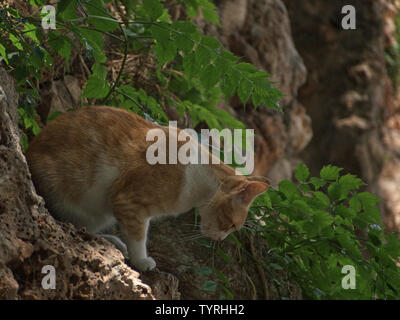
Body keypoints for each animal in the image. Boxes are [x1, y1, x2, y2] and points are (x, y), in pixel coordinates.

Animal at [25, 106, 268, 272]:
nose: (221, 240)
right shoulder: (128, 201)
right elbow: (139, 235)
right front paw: (141, 261)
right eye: (232, 225)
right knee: (70, 223)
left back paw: (111, 241)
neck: (197, 177)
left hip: (99, 214)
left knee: (85, 228)